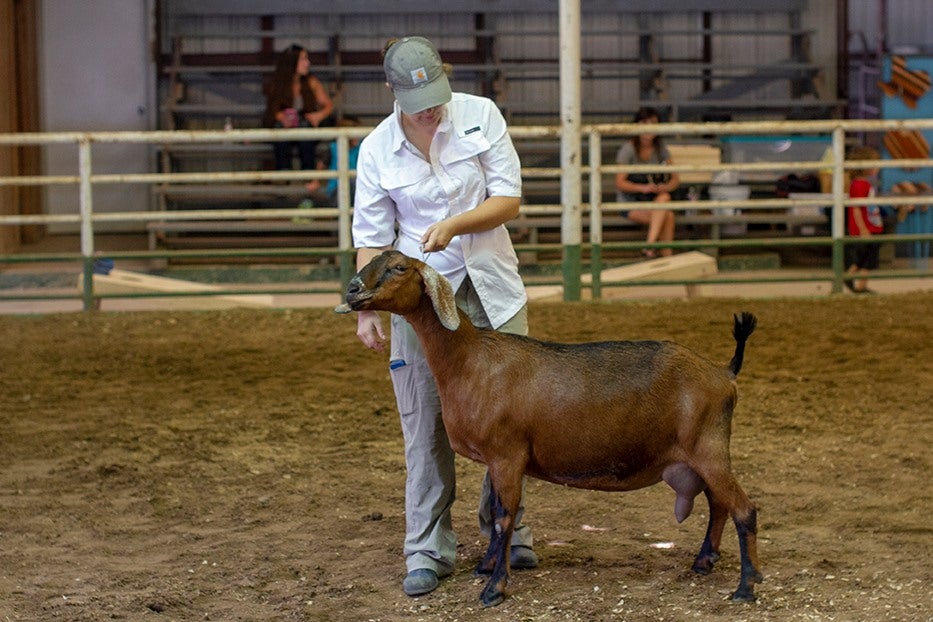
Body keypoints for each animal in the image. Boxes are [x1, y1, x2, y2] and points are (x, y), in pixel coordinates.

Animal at [336, 250, 762, 607]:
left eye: (399, 267)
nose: (353, 290)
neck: (472, 361)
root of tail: (724, 372)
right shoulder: (498, 460)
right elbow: (496, 514)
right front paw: (486, 568)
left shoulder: (506, 454)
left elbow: (505, 517)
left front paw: (495, 588)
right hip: (700, 454)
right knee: (719, 504)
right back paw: (705, 561)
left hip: (708, 448)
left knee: (743, 508)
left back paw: (746, 586)